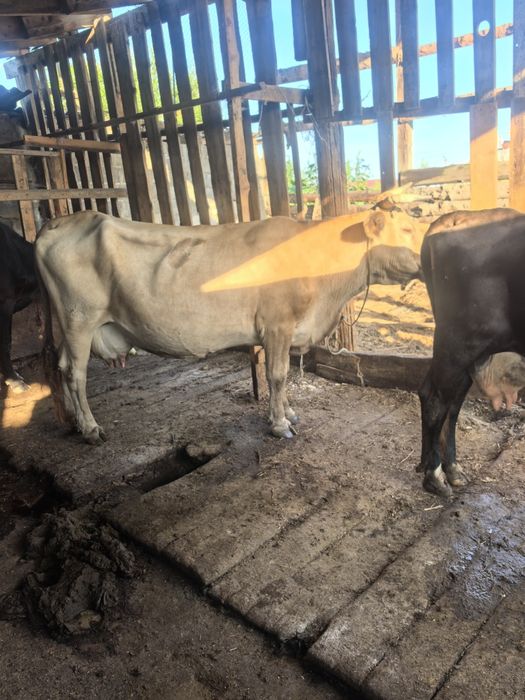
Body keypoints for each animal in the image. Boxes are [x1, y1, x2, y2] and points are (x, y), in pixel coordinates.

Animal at [36, 203, 424, 445]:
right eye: (406, 228)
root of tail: (61, 222)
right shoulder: (277, 325)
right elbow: (278, 375)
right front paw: (280, 424)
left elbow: (279, 377)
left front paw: (288, 412)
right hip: (79, 318)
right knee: (75, 373)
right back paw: (90, 428)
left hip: (69, 323)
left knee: (61, 367)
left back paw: (72, 420)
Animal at [418, 208, 525, 497]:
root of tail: (457, 217)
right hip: (459, 342)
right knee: (434, 398)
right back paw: (435, 476)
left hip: (468, 351)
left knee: (452, 403)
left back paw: (450, 469)